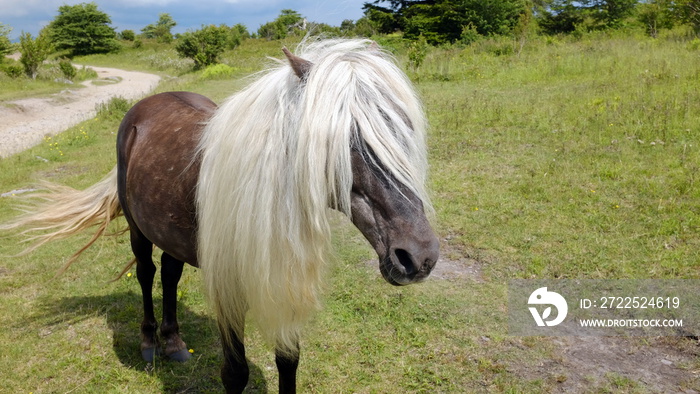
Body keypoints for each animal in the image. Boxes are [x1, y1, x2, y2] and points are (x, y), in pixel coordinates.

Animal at [2, 39, 440, 390]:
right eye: (341, 141)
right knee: (146, 273)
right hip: (138, 230)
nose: (418, 257)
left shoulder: (282, 278)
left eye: (405, 129)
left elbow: (288, 363)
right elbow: (236, 373)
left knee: (170, 274)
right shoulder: (230, 287)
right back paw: (149, 343)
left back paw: (175, 343)